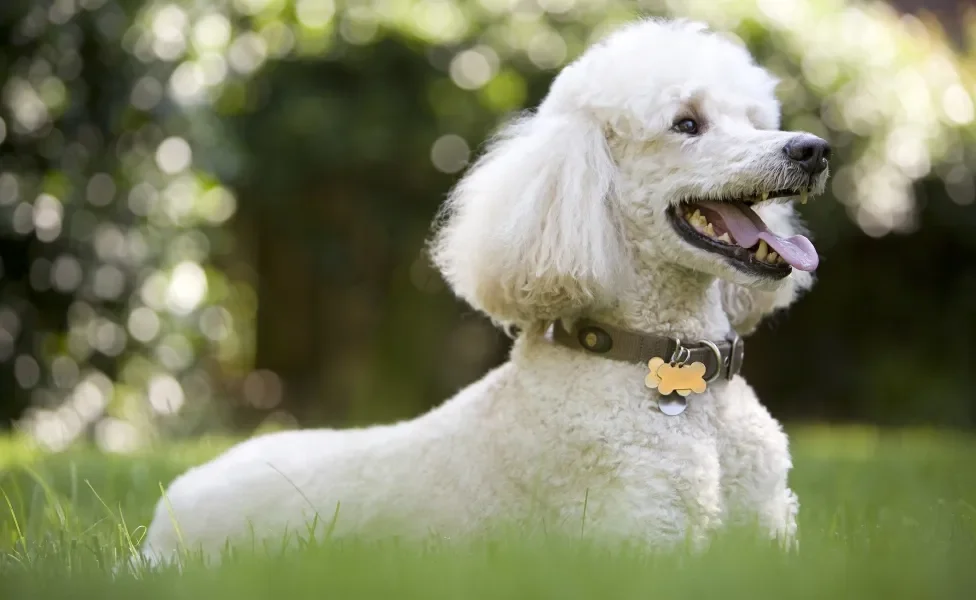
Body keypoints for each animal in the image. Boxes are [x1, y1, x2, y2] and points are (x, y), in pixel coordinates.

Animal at [143, 18, 832, 564]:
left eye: (754, 120)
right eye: (687, 123)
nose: (814, 150)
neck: (669, 367)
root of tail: (162, 514)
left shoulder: (769, 533)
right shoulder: (639, 540)